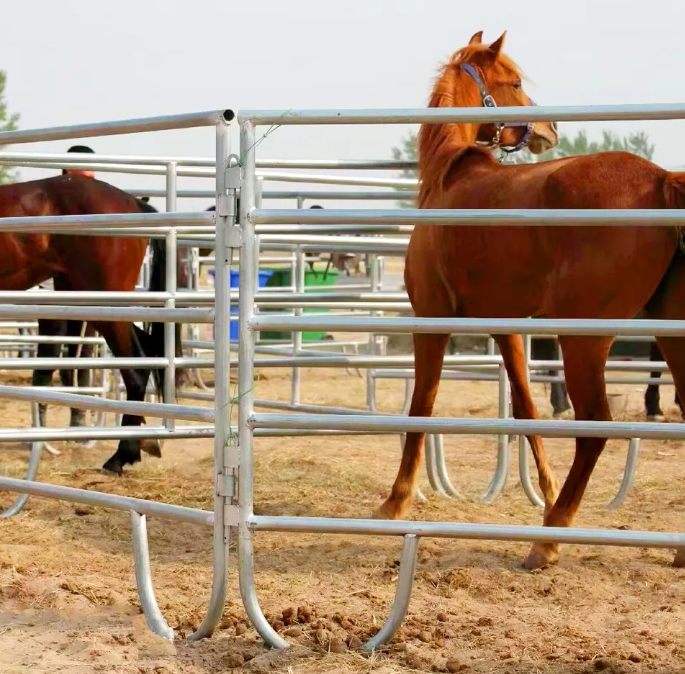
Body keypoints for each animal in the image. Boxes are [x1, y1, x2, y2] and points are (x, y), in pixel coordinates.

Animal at [375, 31, 685, 571]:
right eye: (515, 82)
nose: (549, 129)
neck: (449, 178)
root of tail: (662, 179)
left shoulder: (431, 318)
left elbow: (422, 405)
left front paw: (396, 501)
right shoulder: (507, 326)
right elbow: (526, 409)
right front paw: (546, 491)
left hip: (584, 338)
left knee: (595, 426)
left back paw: (549, 539)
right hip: (668, 331)